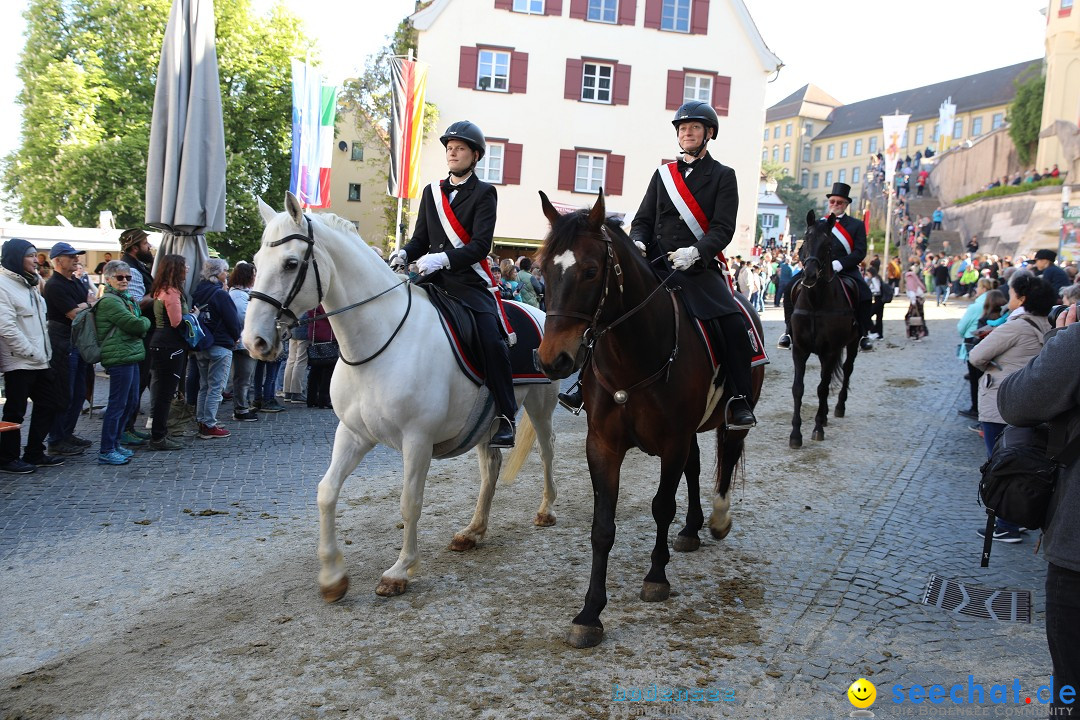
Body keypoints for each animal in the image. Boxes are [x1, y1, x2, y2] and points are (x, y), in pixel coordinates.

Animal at [246, 193, 561, 604]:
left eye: (290, 263)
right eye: (255, 263)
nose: (254, 341)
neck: (378, 340)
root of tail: (535, 310)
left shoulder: (417, 440)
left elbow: (410, 502)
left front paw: (399, 571)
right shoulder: (352, 434)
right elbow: (326, 492)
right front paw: (332, 576)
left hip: (541, 404)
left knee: (547, 449)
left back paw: (546, 510)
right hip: (487, 419)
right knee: (491, 466)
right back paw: (473, 530)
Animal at [535, 189, 764, 647]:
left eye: (591, 271)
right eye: (544, 270)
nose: (554, 360)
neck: (634, 354)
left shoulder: (672, 441)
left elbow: (662, 506)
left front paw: (656, 577)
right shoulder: (602, 446)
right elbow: (602, 526)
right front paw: (590, 613)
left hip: (730, 418)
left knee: (727, 457)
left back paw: (717, 519)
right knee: (696, 467)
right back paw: (692, 529)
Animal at [786, 209, 859, 451]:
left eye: (828, 244)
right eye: (806, 239)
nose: (809, 275)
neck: (816, 303)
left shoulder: (830, 351)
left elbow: (822, 388)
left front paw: (817, 428)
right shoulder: (799, 349)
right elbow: (798, 388)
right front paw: (795, 434)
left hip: (852, 344)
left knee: (846, 370)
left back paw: (837, 408)